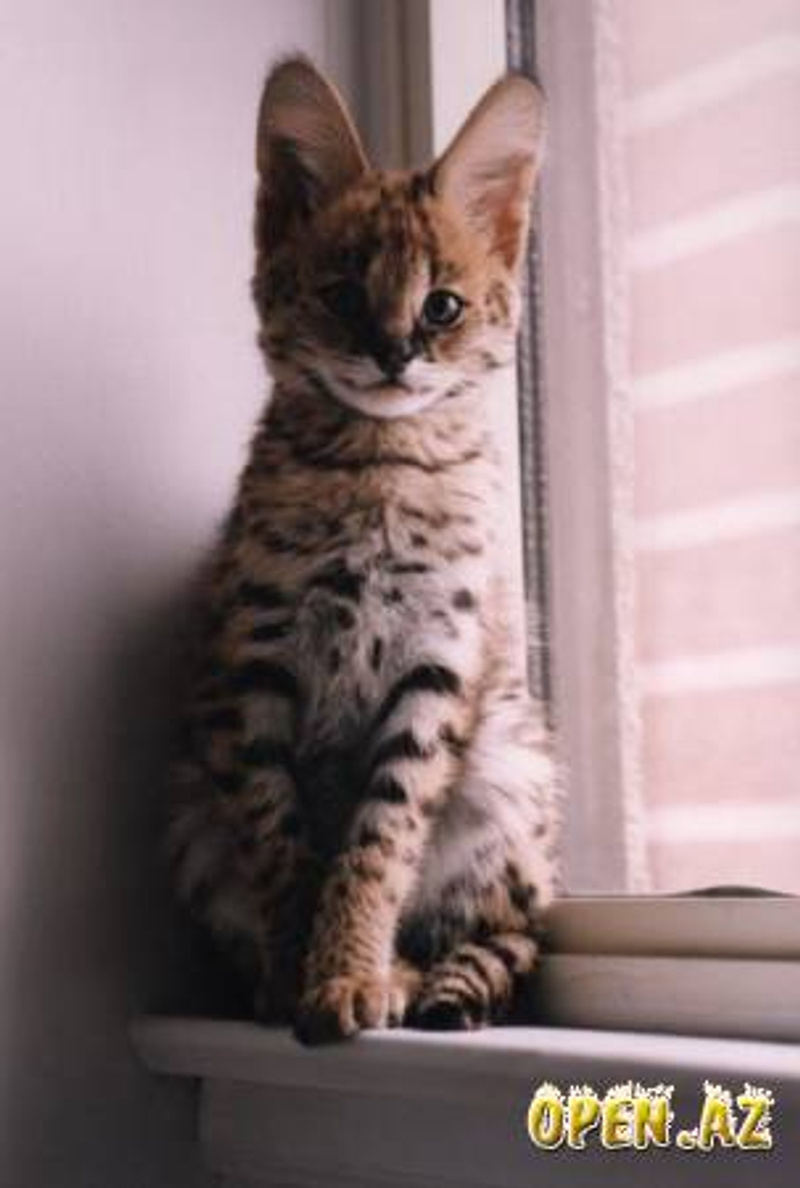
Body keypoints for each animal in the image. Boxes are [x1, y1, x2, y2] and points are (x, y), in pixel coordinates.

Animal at [167, 55, 561, 1045]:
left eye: (442, 307)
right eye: (343, 296)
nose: (393, 352)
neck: (378, 462)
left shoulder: (438, 669)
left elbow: (379, 839)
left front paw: (348, 972)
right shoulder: (254, 668)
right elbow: (281, 843)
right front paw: (297, 975)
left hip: (510, 764)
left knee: (507, 927)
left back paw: (412, 971)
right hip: (192, 809)